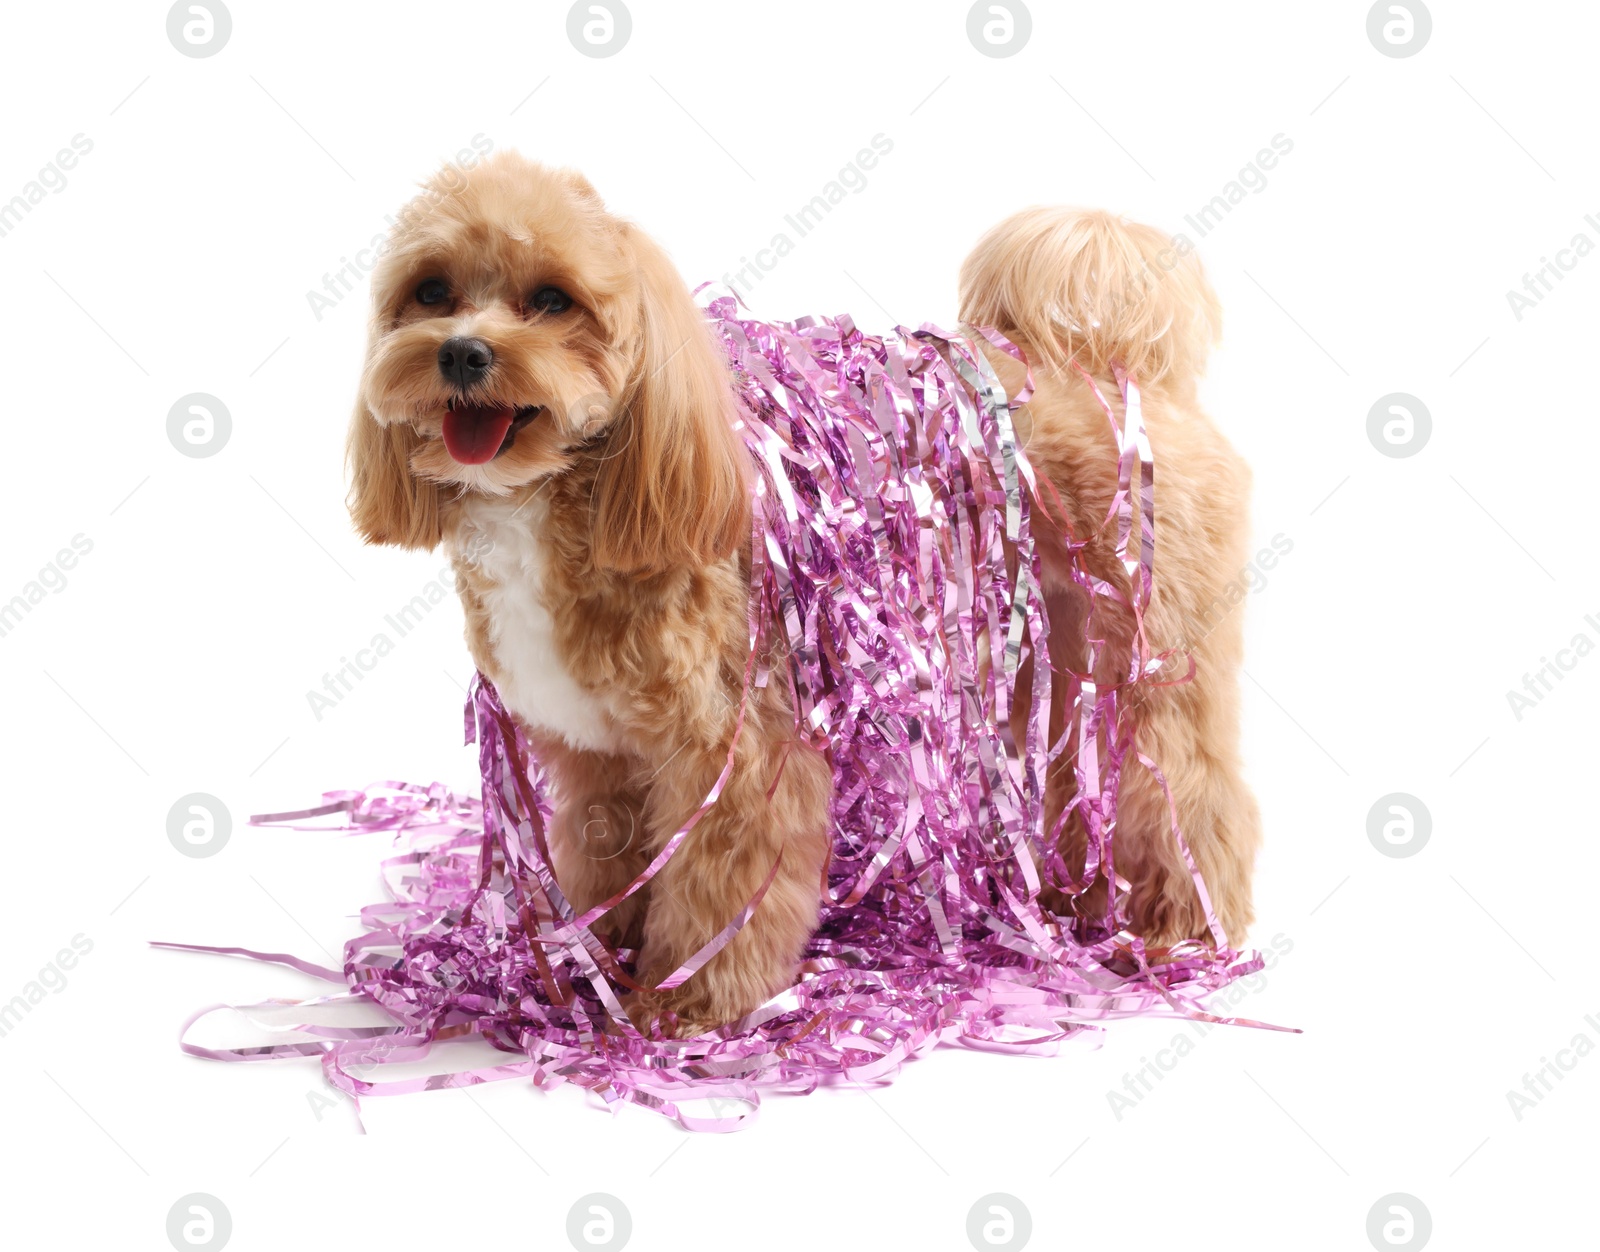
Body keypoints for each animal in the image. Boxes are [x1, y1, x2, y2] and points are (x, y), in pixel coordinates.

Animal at [344, 152, 1254, 1037]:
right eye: (431, 291)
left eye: (551, 300)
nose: (462, 352)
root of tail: (1109, 364)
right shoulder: (602, 757)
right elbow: (606, 862)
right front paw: (596, 963)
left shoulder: (737, 750)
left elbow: (725, 887)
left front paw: (692, 1003)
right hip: (1058, 654)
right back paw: (1084, 902)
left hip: (1148, 653)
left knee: (1188, 785)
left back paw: (1181, 923)